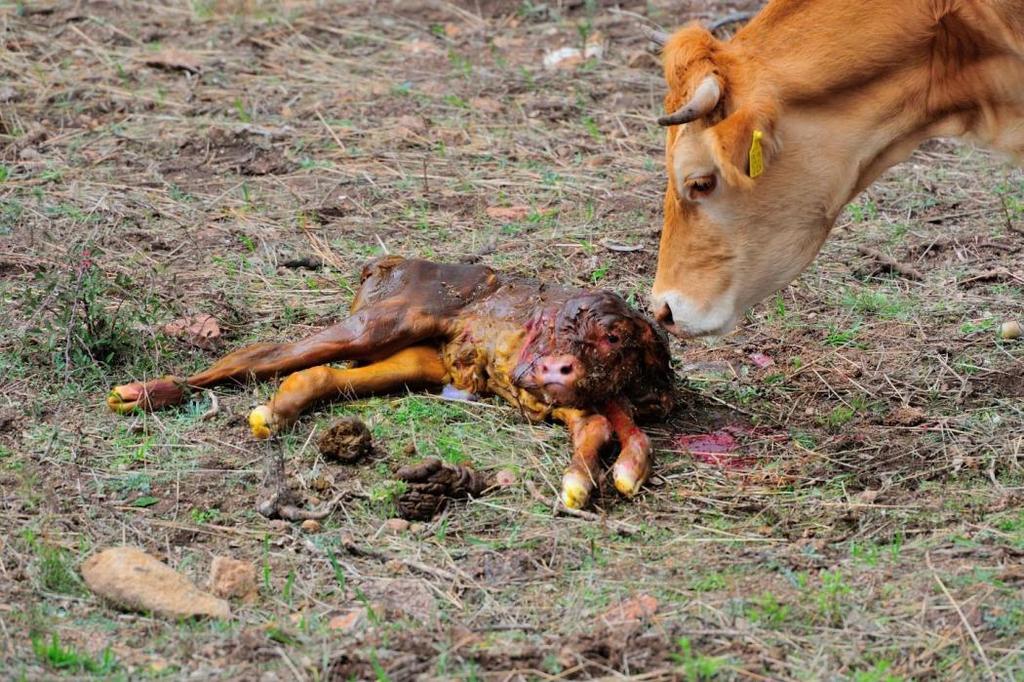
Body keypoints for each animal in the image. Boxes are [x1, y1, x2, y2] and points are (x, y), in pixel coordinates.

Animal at [110, 254, 671, 503]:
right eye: (566, 326)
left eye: (616, 339)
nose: (557, 368)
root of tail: (387, 263)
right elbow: (607, 426)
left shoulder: (577, 400)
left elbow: (610, 427)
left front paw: (609, 476)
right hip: (385, 321)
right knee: (260, 353)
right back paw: (142, 394)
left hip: (418, 360)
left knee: (320, 374)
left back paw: (276, 410)